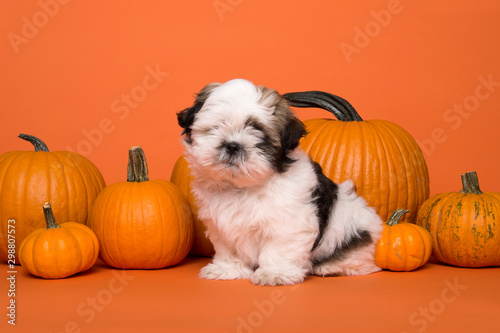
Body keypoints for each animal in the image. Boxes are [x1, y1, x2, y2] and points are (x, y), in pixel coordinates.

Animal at [177, 78, 382, 286]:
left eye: (259, 134)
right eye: (217, 127)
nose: (233, 145)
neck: (242, 186)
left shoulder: (289, 222)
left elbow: (280, 247)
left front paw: (274, 272)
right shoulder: (222, 225)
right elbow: (229, 247)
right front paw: (228, 268)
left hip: (352, 229)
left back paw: (332, 267)